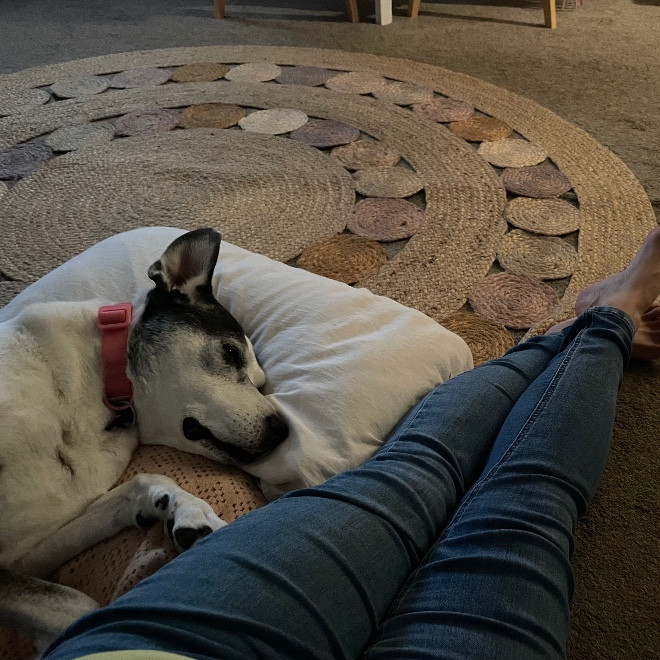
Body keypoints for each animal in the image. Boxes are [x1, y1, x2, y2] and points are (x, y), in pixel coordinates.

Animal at [0, 228, 289, 654]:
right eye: (230, 352)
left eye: (259, 382)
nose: (283, 429)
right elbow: (78, 606)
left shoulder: (25, 553)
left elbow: (141, 483)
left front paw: (184, 510)